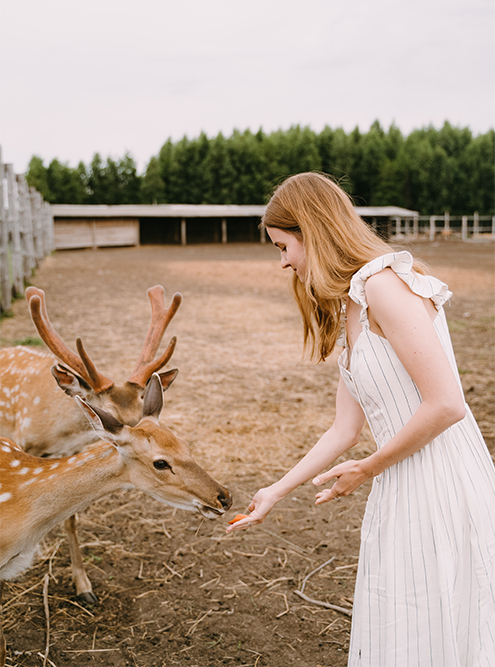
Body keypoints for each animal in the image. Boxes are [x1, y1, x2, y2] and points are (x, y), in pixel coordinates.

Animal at [0, 286, 200, 604]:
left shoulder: (71, 451)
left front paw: (83, 586)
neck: (59, 431)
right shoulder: (23, 443)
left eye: (143, 406)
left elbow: (70, 518)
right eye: (109, 413)